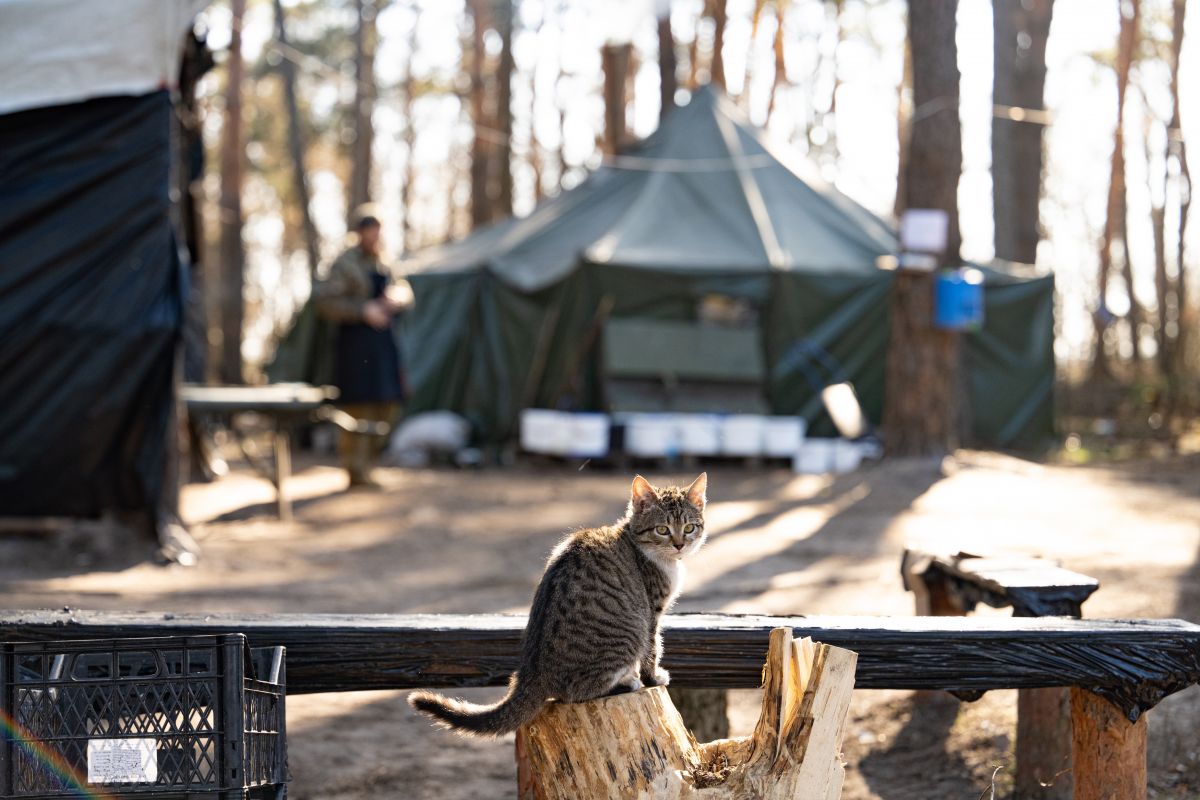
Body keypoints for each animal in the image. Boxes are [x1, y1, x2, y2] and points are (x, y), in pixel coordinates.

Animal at [412, 474, 710, 738]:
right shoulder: (652, 611)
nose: (680, 544)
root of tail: (532, 673)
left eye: (690, 527)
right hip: (627, 633)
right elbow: (652, 648)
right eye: (662, 529)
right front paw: (653, 677)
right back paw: (626, 682)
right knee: (575, 692)